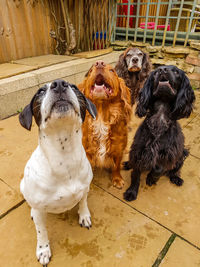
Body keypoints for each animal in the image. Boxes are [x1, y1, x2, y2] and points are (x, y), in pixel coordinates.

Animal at [19, 79, 97, 266]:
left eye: (74, 87)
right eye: (40, 91)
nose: (59, 83)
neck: (65, 157)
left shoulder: (85, 188)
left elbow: (83, 202)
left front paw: (84, 215)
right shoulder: (39, 211)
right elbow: (41, 231)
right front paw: (43, 250)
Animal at [77, 61, 131, 189]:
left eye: (112, 70)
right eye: (90, 71)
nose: (99, 63)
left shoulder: (118, 149)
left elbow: (116, 166)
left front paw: (117, 178)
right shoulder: (86, 150)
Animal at [123, 66, 195, 202]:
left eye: (176, 71)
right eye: (156, 72)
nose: (162, 69)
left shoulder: (168, 153)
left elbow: (159, 168)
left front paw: (152, 178)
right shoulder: (139, 151)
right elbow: (136, 174)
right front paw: (131, 192)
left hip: (181, 154)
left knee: (175, 169)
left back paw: (176, 178)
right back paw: (127, 164)